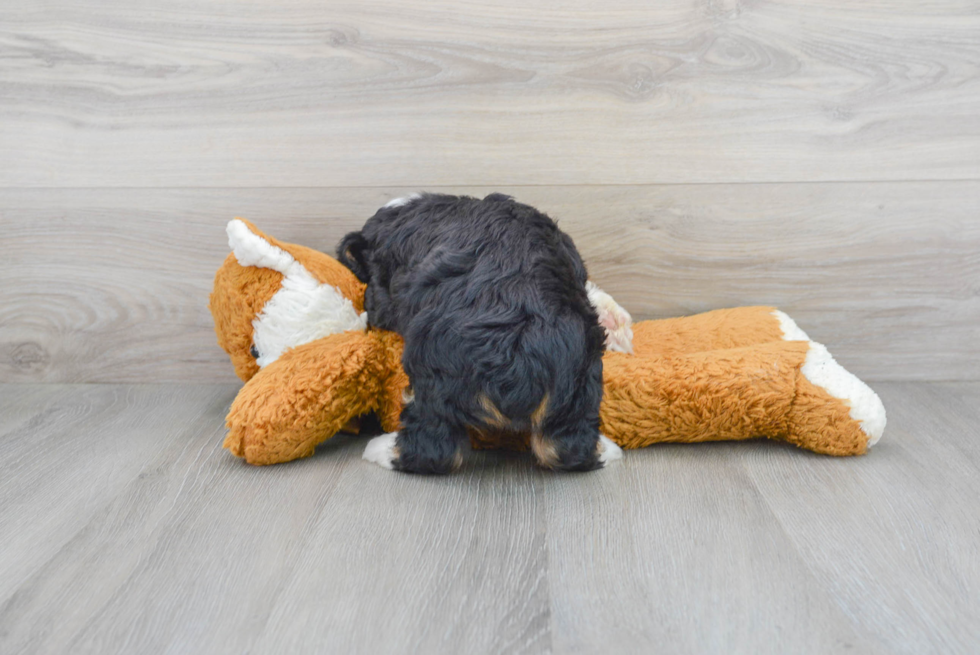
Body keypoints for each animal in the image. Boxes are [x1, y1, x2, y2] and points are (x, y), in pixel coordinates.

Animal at [336, 192, 628, 474]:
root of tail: (519, 360)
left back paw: (379, 449)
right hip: (579, 379)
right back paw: (608, 449)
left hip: (434, 375)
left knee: (433, 448)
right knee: (565, 446)